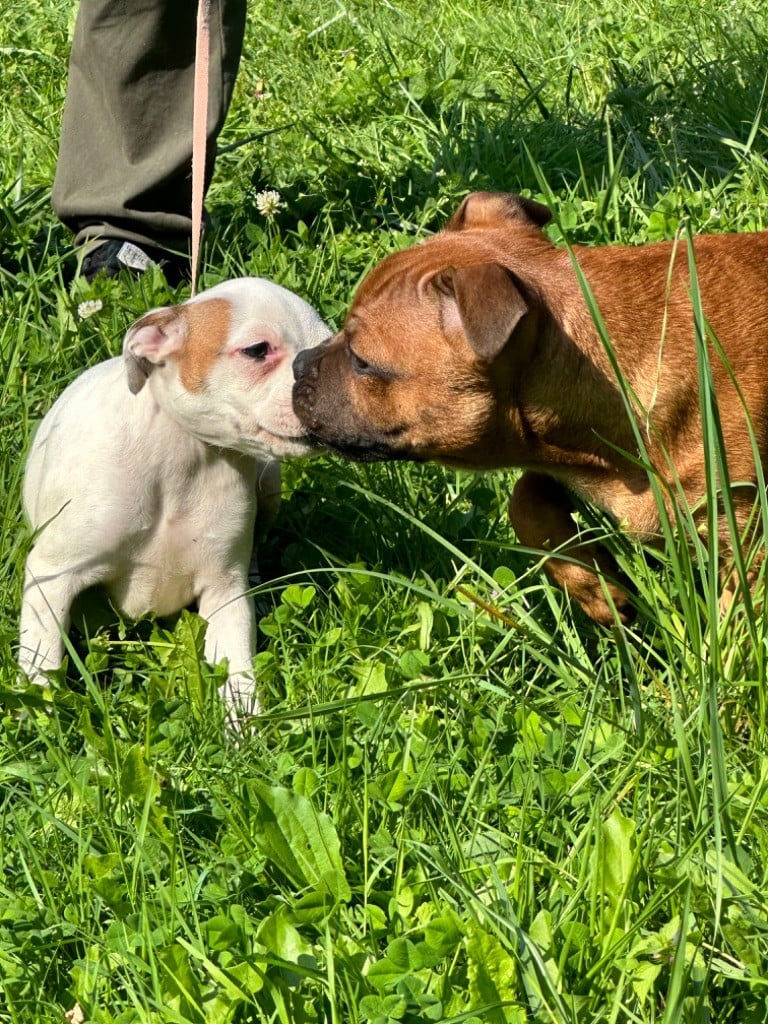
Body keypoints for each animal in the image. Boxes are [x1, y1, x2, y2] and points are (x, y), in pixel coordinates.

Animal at [20, 274, 327, 720]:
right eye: (257, 350)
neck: (182, 454)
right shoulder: (53, 575)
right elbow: (41, 657)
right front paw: (39, 715)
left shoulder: (223, 592)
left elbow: (237, 668)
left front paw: (245, 726)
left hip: (269, 482)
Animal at [290, 193, 768, 622]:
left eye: (361, 361)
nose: (297, 365)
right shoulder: (568, 466)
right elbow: (524, 501)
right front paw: (599, 590)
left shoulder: (747, 540)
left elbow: (735, 622)